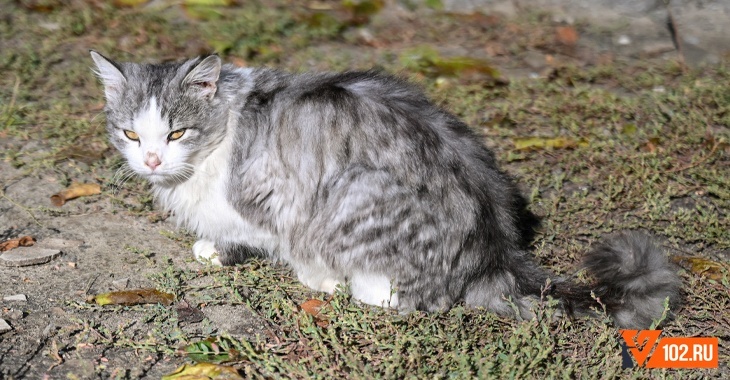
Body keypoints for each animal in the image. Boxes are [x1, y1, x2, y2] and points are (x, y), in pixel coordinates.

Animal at [89, 50, 676, 328]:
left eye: (177, 133)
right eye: (132, 134)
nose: (151, 158)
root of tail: (496, 250)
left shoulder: (273, 197)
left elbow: (272, 240)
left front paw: (234, 254)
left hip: (356, 191)